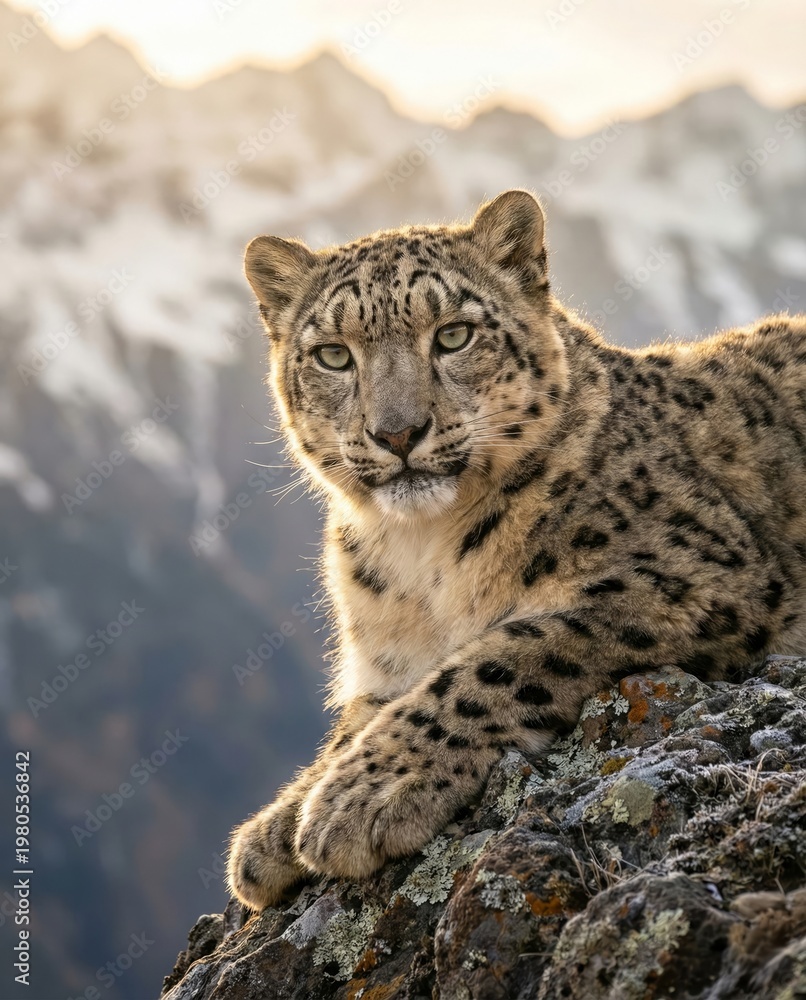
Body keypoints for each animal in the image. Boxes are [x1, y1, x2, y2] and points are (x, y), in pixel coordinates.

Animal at [227, 188, 806, 910]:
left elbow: (497, 658)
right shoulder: (383, 664)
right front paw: (276, 825)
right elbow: (356, 720)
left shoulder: (694, 578)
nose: (397, 433)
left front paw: (362, 797)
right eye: (333, 355)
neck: (419, 555)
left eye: (454, 335)